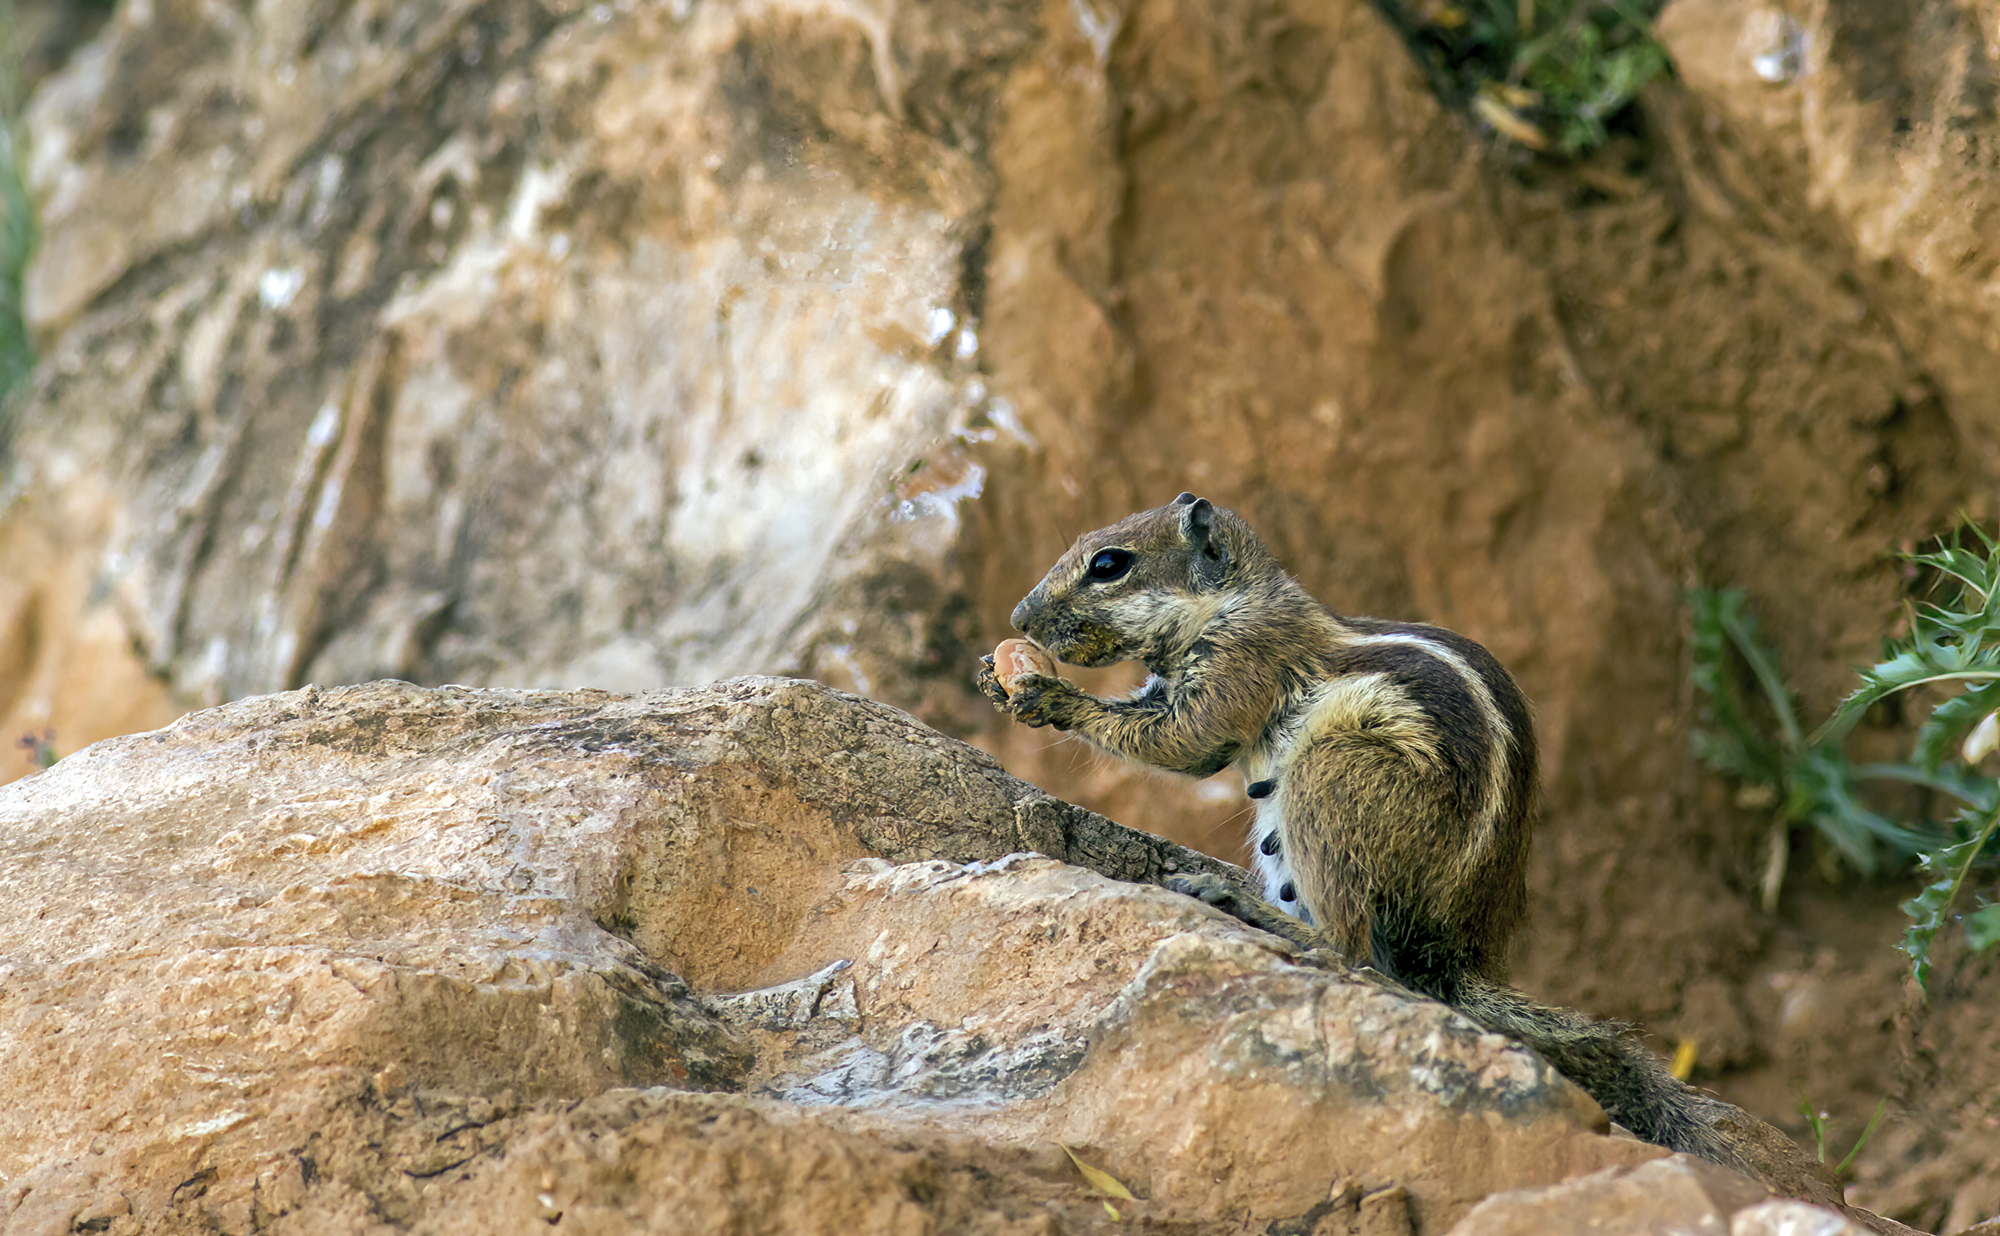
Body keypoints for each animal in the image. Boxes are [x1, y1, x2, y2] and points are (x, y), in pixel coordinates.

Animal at [975, 493, 1776, 1175]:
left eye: (1110, 564)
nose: (1017, 616)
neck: (1239, 600)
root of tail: (1447, 950)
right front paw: (995, 676)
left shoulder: (1240, 664)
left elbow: (1186, 743)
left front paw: (1050, 695)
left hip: (1331, 777)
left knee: (1350, 949)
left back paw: (1240, 902)